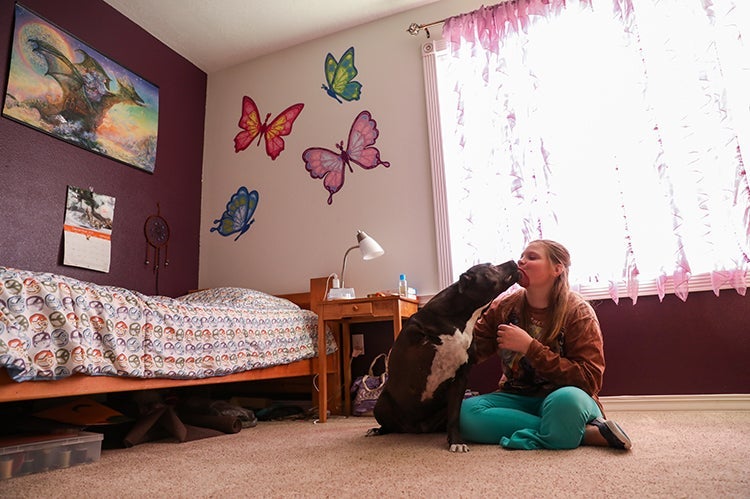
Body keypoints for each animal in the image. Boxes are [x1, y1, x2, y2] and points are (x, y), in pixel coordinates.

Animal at [368, 262, 520, 454]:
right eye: (490, 267)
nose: (513, 262)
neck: (463, 317)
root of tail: (414, 428)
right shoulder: (412, 334)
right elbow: (427, 334)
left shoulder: (460, 379)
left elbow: (454, 416)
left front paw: (456, 441)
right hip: (380, 405)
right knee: (388, 425)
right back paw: (377, 430)